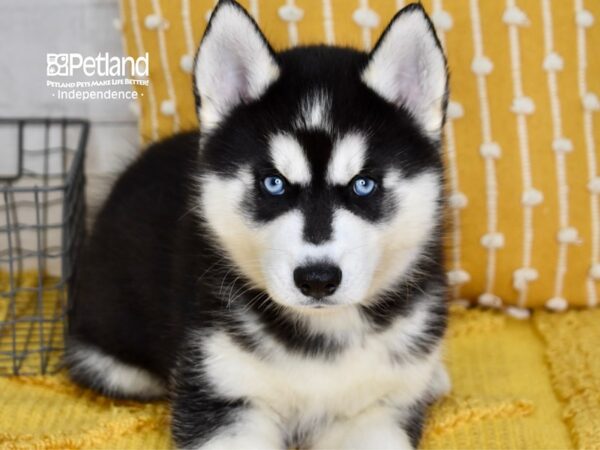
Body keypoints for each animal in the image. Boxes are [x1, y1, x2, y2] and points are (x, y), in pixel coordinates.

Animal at [65, 1, 450, 448]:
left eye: (364, 184)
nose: (317, 279)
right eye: (274, 183)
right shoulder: (222, 393)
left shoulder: (379, 407)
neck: (321, 339)